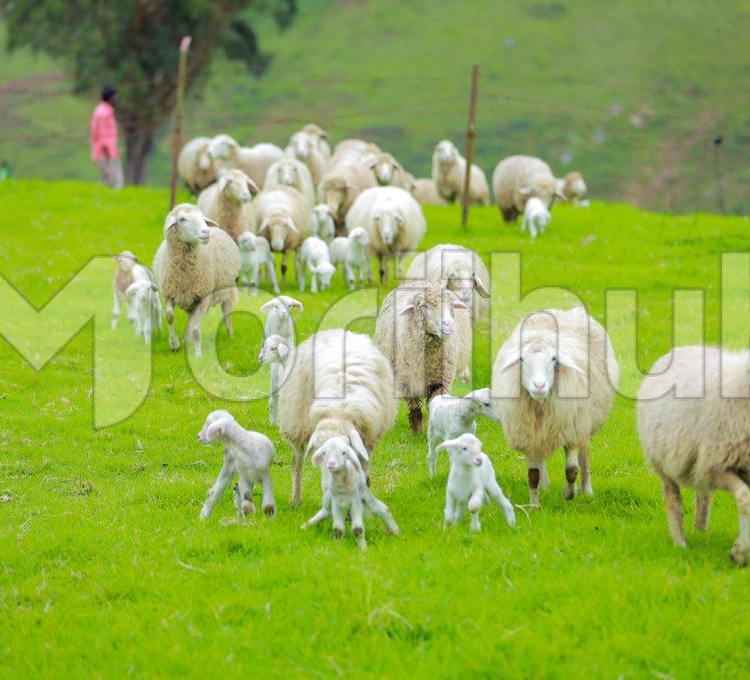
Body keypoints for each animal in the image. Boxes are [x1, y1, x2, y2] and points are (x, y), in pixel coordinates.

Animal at [152, 203, 240, 357]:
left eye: (202, 217)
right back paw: (185, 341)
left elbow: (195, 328)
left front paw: (198, 355)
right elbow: (170, 316)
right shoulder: (169, 293)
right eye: (182, 219)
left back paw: (230, 336)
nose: (206, 232)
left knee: (226, 313)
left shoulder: (204, 297)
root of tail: (218, 229)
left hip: (227, 291)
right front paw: (174, 344)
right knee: (191, 319)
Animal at [277, 328, 397, 507]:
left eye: (343, 452)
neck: (338, 411)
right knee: (297, 462)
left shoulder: (368, 439)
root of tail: (332, 330)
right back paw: (296, 501)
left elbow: (364, 471)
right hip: (295, 421)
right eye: (322, 453)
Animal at [374, 282, 470, 434]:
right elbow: (414, 408)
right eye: (424, 306)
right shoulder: (406, 382)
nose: (448, 324)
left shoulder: (441, 382)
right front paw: (417, 432)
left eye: (451, 306)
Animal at [491, 306, 619, 507]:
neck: (540, 407)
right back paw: (544, 485)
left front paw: (569, 493)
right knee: (541, 460)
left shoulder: (573, 430)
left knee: (584, 457)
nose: (539, 385)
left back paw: (586, 490)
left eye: (553, 359)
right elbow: (532, 475)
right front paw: (534, 506)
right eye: (521, 359)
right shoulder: (529, 435)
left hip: (584, 423)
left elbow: (571, 470)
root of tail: (562, 310)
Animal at [637, 345, 750, 566]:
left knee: (703, 497)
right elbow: (745, 498)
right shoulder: (717, 465)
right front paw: (740, 552)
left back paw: (700, 531)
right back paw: (680, 542)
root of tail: (683, 348)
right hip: (664, 462)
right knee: (673, 499)